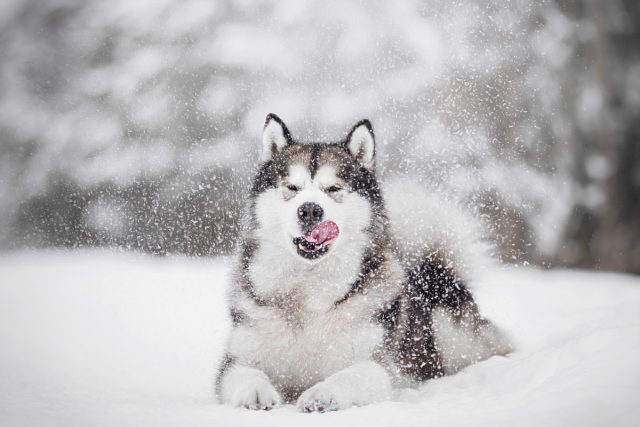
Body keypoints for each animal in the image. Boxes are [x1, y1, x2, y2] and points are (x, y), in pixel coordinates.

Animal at [215, 113, 510, 412]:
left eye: (333, 188)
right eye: (292, 188)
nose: (309, 210)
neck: (307, 290)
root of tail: (435, 270)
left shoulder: (376, 363)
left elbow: (350, 375)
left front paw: (322, 393)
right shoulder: (236, 360)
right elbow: (245, 373)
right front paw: (256, 392)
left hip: (450, 334)